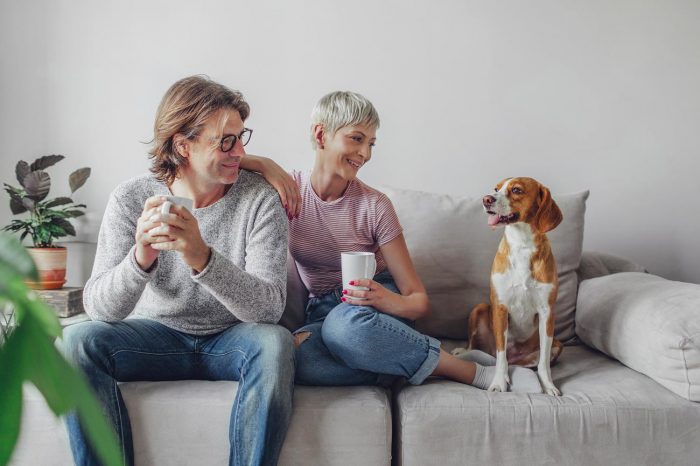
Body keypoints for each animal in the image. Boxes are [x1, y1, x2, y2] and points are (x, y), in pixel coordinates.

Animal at [460, 177, 564, 396]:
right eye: (496, 188)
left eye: (516, 190)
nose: (486, 199)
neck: (522, 244)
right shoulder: (500, 308)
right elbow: (501, 358)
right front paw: (498, 383)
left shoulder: (547, 313)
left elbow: (544, 362)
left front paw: (548, 385)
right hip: (479, 308)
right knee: (484, 351)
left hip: (557, 345)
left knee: (526, 364)